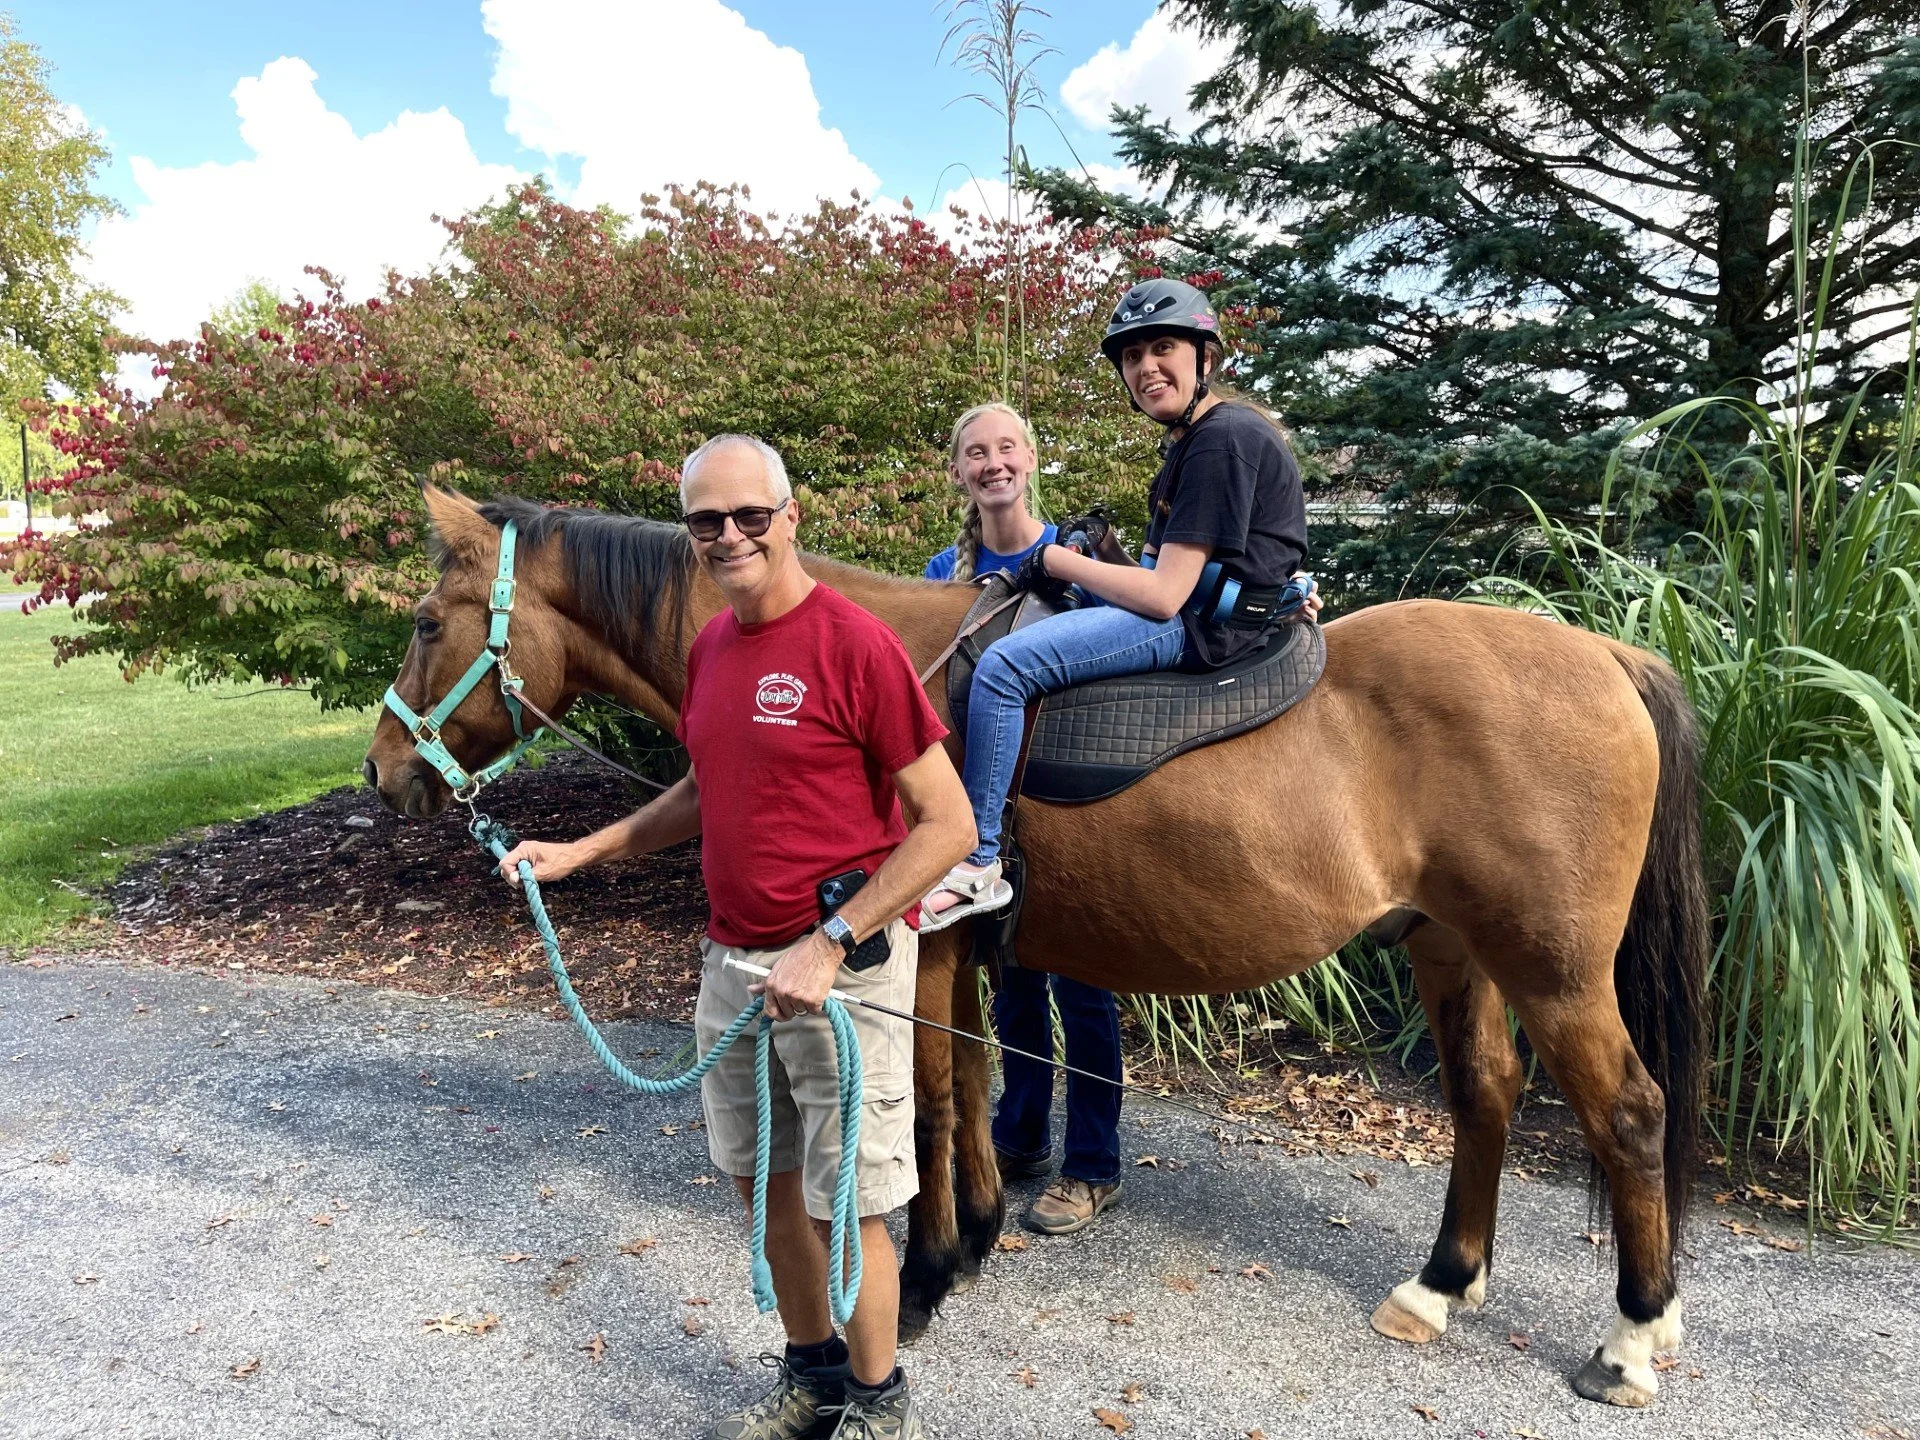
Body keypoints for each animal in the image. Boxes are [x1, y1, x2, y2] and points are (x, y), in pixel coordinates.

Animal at [363, 487, 1709, 1409]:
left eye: (427, 622)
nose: (382, 773)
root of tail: (1604, 651)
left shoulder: (908, 947)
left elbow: (934, 1098)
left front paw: (930, 1273)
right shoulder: (957, 957)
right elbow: (968, 1084)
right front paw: (972, 1236)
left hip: (1552, 969)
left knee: (1630, 1113)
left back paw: (1634, 1335)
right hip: (1451, 948)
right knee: (1486, 1093)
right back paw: (1443, 1281)